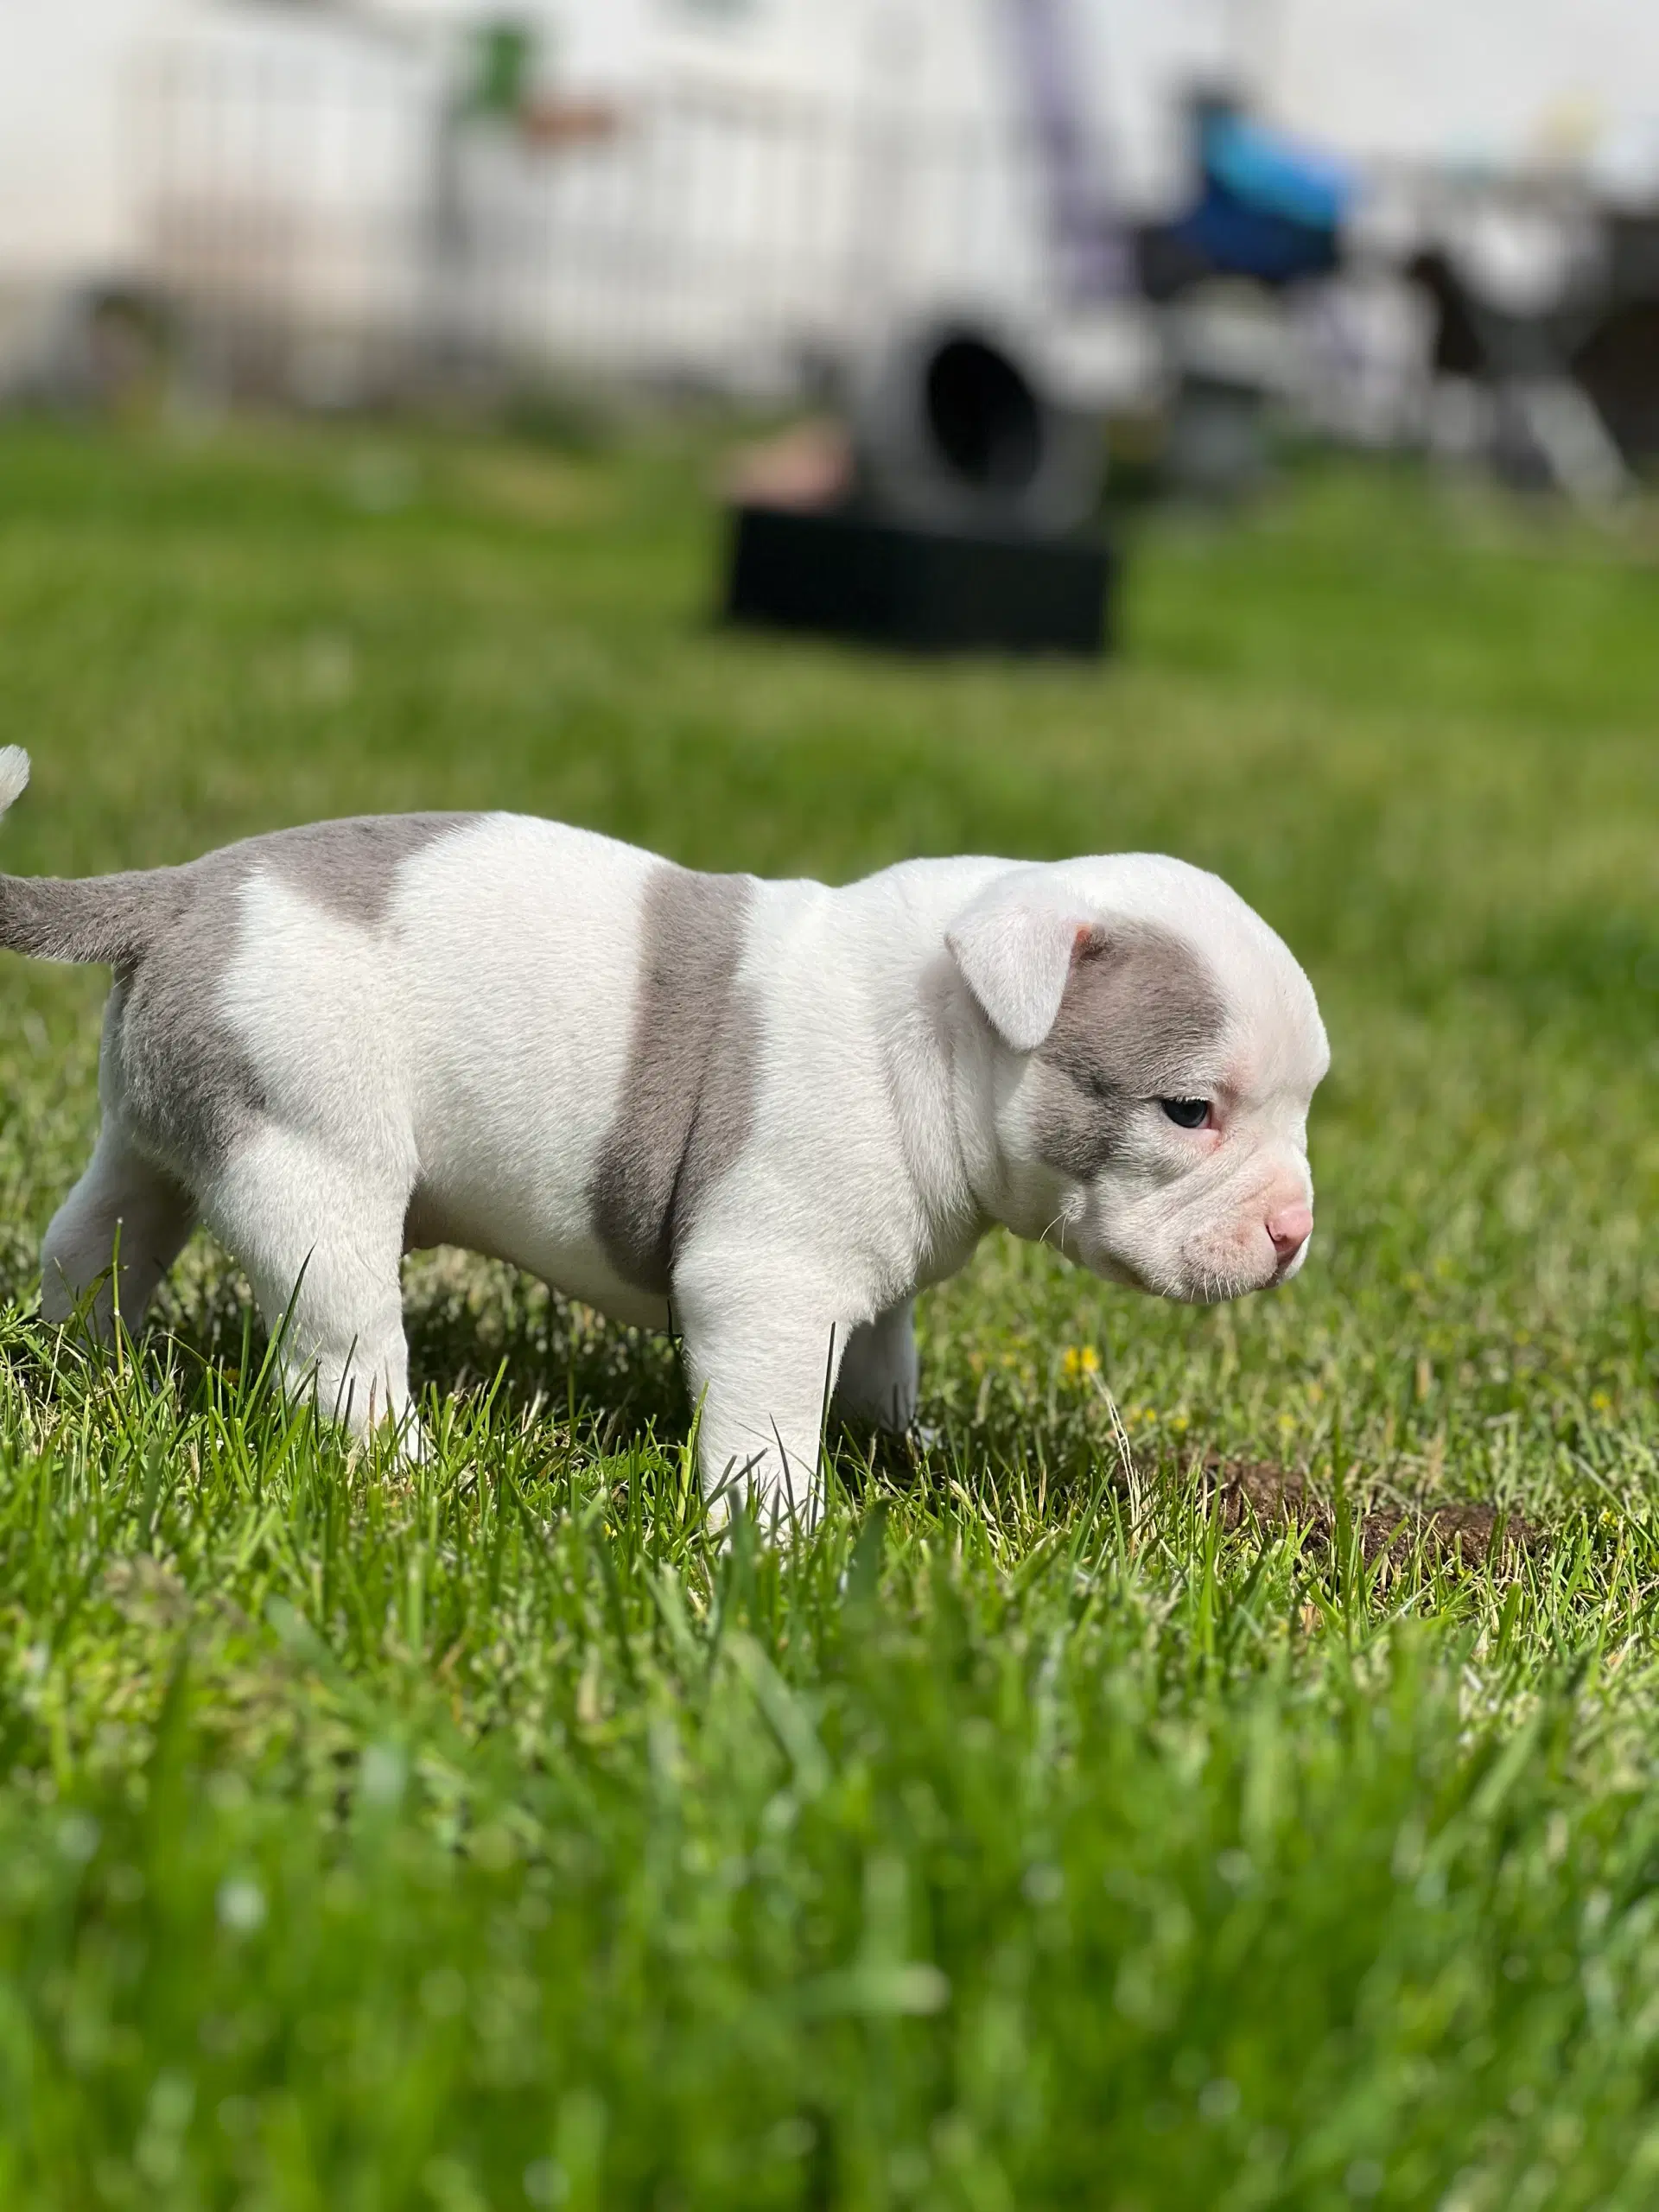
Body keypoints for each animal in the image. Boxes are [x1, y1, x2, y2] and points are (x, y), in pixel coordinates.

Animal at [0, 747, 1336, 1522]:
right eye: (1188, 1110)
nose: (1293, 1233)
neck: (940, 1025)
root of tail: (181, 891)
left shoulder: (873, 1270)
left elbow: (881, 1357)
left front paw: (901, 1450)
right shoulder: (769, 1282)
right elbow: (769, 1424)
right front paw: (779, 1544)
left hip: (166, 1130)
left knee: (99, 1240)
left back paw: (78, 1372)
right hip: (312, 1162)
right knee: (341, 1344)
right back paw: (407, 1474)